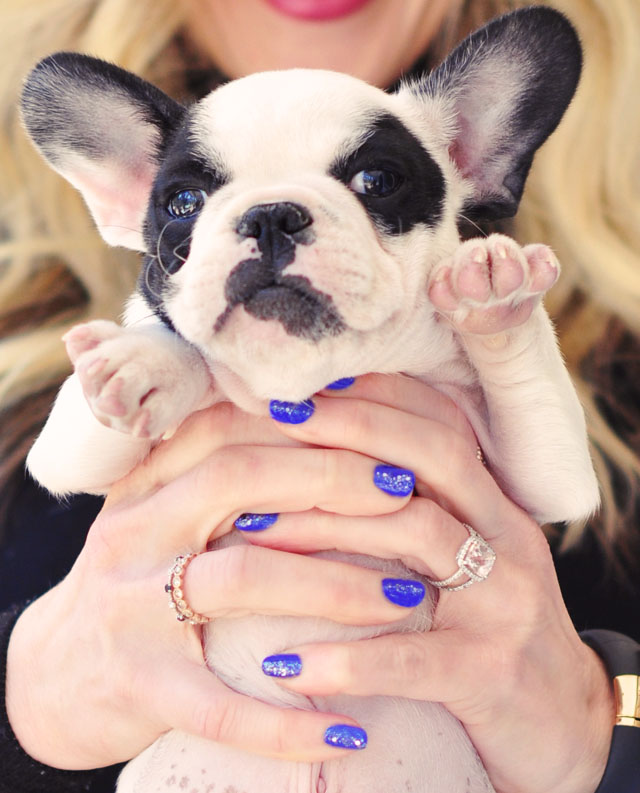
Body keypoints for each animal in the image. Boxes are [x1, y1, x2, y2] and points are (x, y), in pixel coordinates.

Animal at [21, 7, 600, 792]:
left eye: (377, 180)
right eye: (183, 203)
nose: (271, 214)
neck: (308, 377)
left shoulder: (545, 473)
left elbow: (540, 437)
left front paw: (494, 294)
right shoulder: (68, 450)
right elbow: (156, 365)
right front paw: (143, 364)